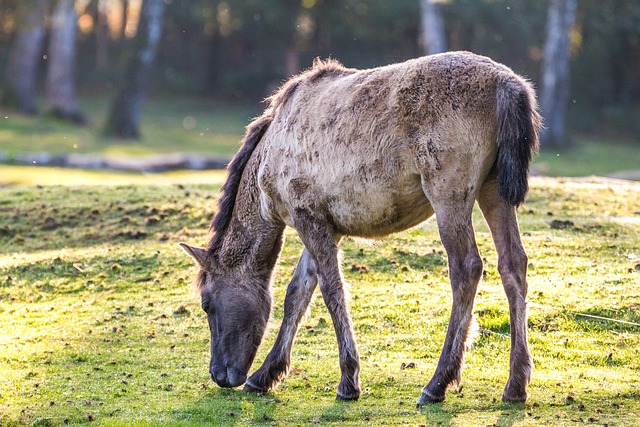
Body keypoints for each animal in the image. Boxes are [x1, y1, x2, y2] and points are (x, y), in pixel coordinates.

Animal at [179, 51, 540, 406]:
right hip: (493, 189)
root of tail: (507, 84)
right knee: (513, 263)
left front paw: (348, 380)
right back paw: (515, 384)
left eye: (206, 303)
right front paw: (266, 374)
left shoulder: (306, 217)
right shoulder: (326, 225)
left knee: (467, 268)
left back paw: (438, 382)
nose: (219, 374)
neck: (268, 162)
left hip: (449, 195)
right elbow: (297, 293)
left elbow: (331, 290)